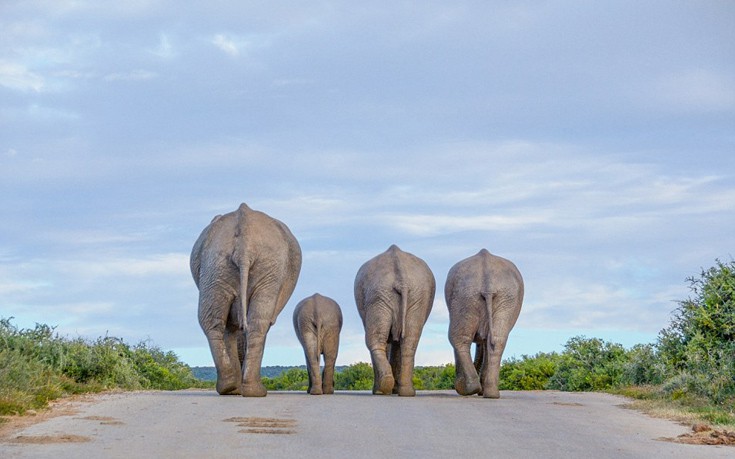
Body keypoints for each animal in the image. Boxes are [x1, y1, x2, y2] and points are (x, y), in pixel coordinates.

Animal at [193, 203, 304, 398]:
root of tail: (244, 244)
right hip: (253, 265)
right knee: (253, 321)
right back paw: (247, 390)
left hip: (218, 265)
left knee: (215, 321)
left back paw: (233, 388)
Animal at [354, 246, 434, 398]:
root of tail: (401, 278)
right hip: (414, 296)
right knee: (409, 341)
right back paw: (405, 392)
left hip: (379, 295)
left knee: (375, 340)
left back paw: (382, 390)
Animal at [442, 248, 524, 398]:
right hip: (503, 296)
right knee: (497, 339)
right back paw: (490, 393)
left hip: (467, 295)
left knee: (458, 337)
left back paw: (472, 389)